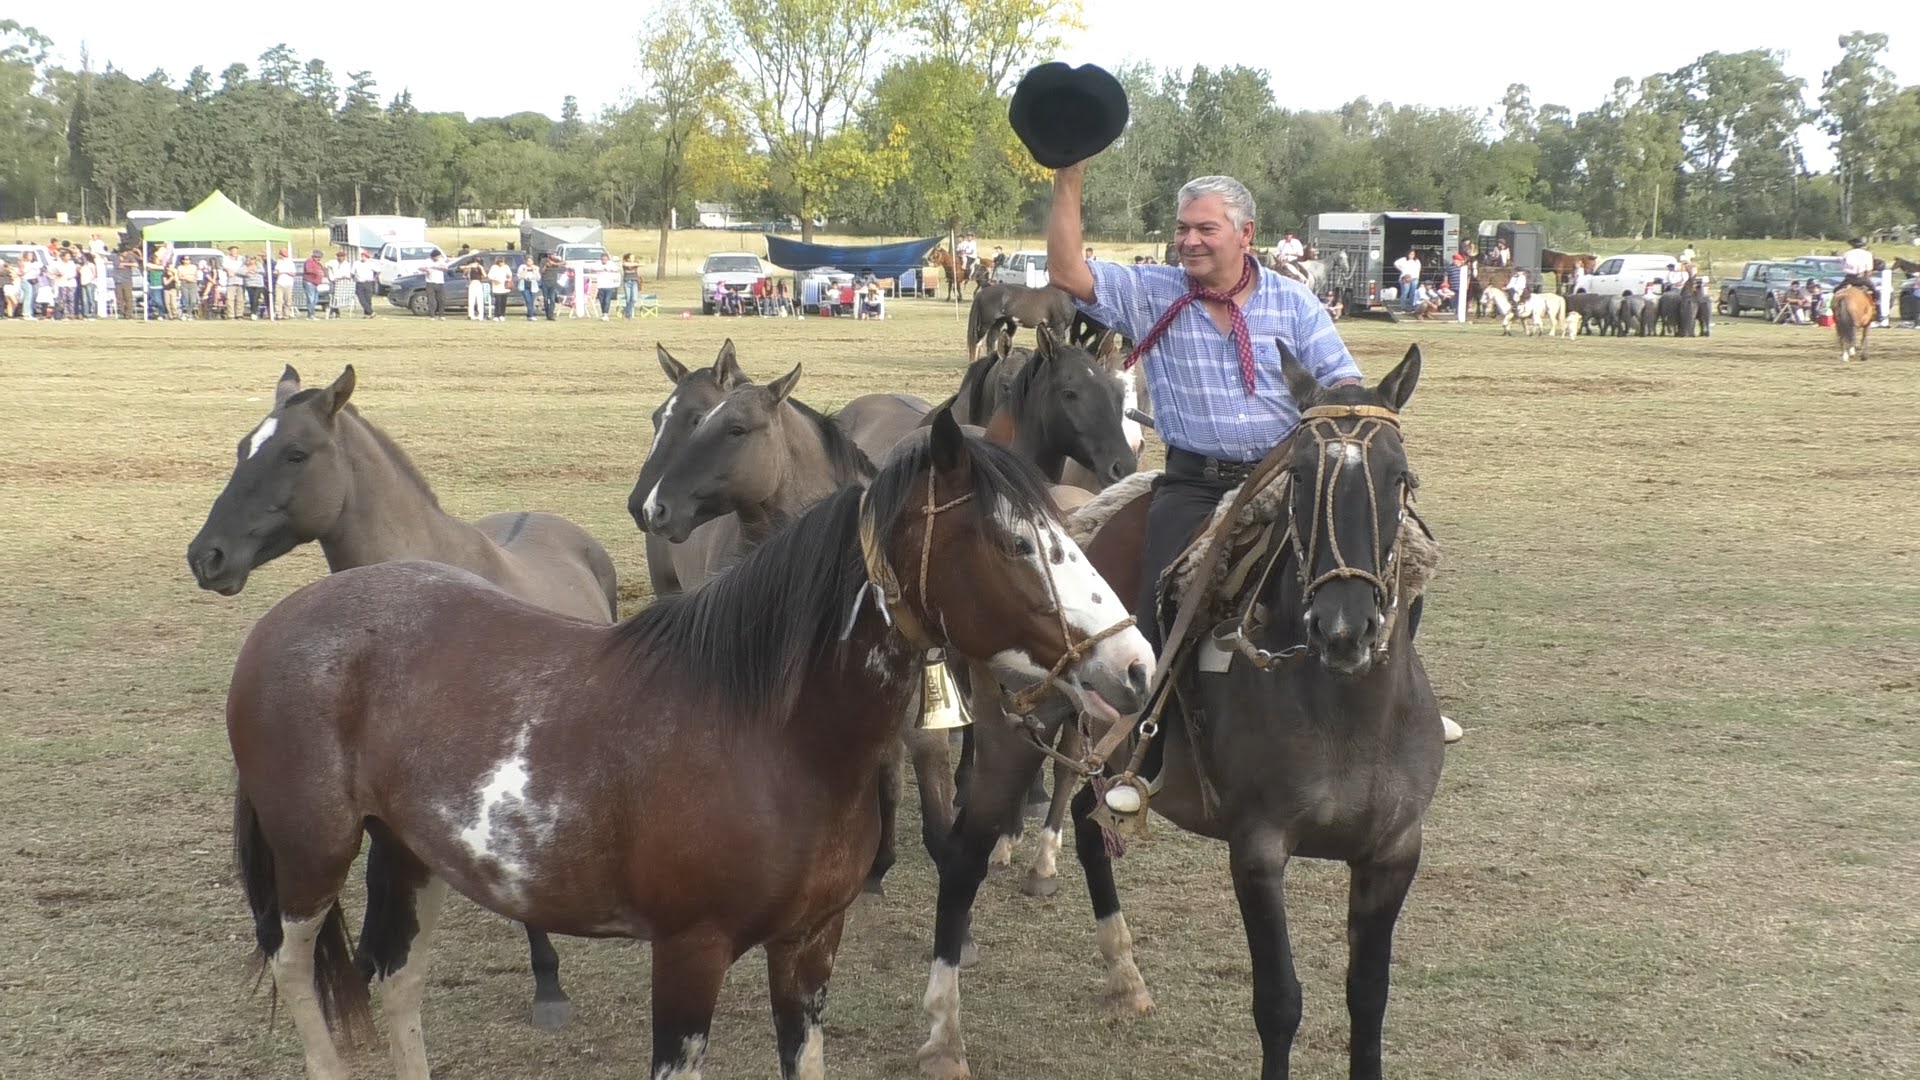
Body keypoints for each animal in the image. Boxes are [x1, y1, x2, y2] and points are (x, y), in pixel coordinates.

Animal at [224, 409, 1152, 1076]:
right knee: (298, 970)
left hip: (410, 852)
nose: (1136, 664)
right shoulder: (687, 959)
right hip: (312, 856)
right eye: (1018, 542)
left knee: (397, 977)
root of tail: (285, 620)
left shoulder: (809, 949)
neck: (768, 740)